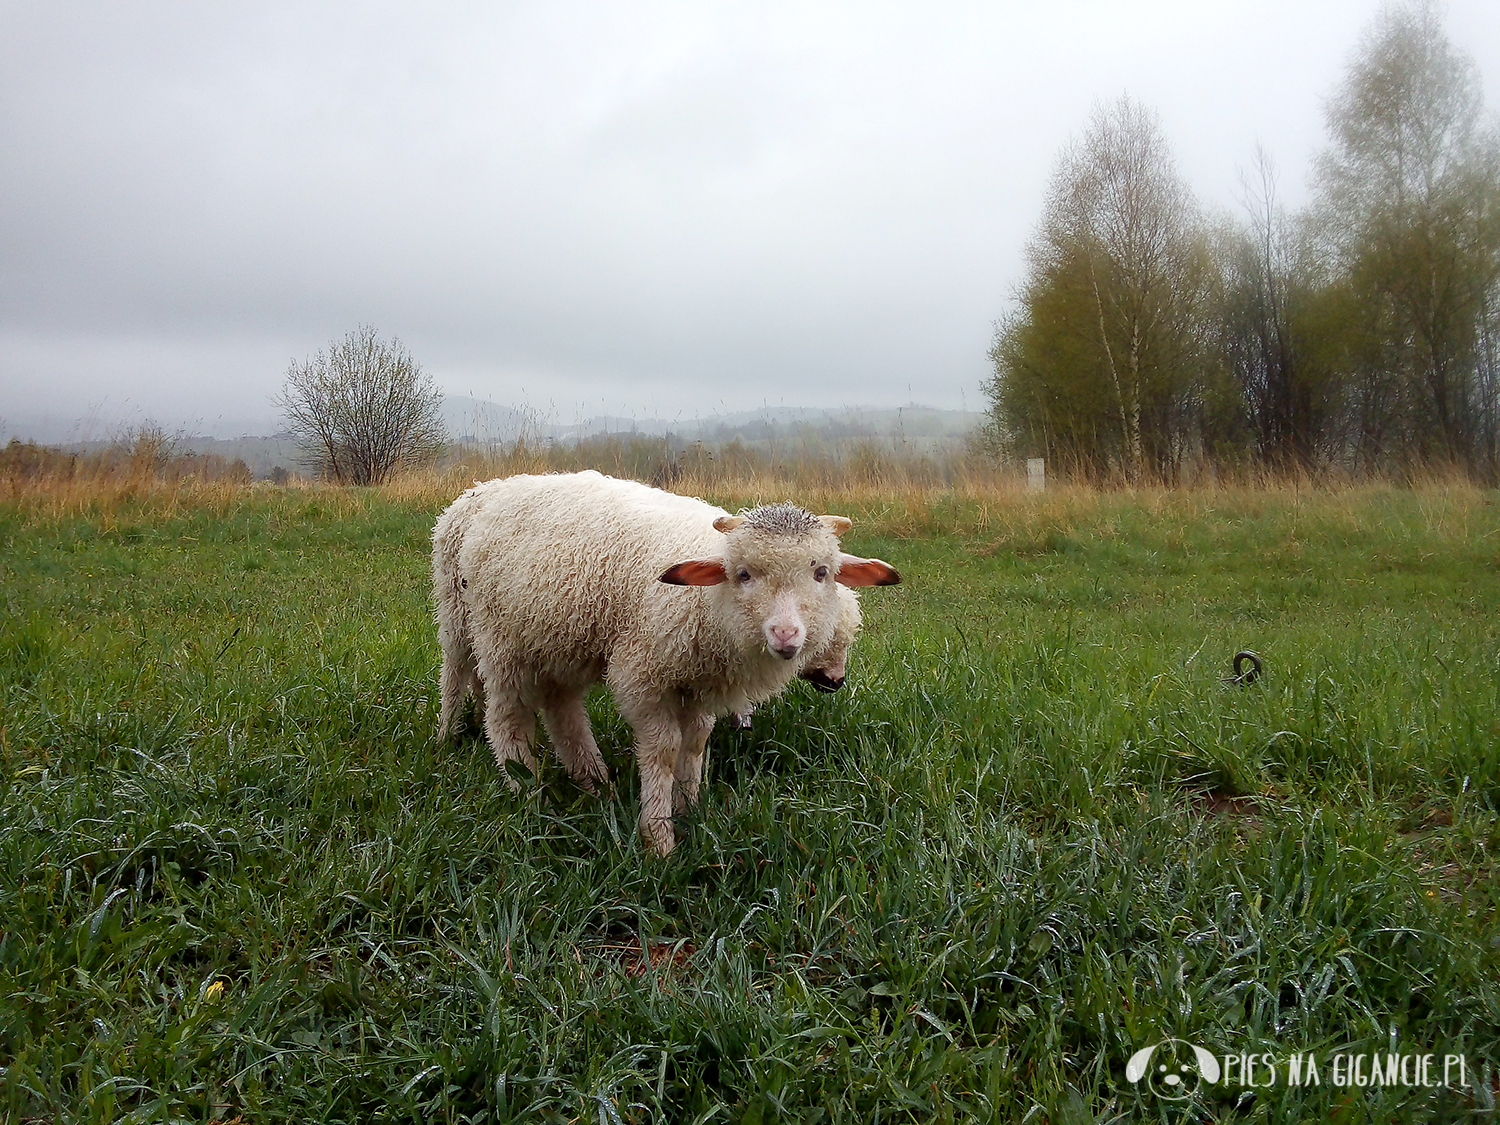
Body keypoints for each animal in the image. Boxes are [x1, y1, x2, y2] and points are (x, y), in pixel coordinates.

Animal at [435, 474, 900, 852]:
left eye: (822, 573)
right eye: (743, 574)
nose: (785, 635)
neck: (709, 605)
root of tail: (480, 491)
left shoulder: (700, 683)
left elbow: (695, 742)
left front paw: (690, 808)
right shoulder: (641, 674)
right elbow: (663, 749)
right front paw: (659, 836)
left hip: (557, 638)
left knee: (561, 708)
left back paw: (594, 782)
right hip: (483, 628)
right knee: (492, 705)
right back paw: (511, 780)